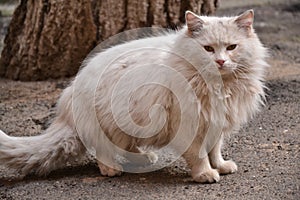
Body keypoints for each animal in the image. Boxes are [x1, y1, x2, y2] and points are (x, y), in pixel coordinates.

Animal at [0, 10, 268, 184]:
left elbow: (215, 150)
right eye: (208, 49)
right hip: (105, 123)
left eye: (231, 47)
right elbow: (200, 155)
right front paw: (205, 174)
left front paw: (221, 166)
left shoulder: (215, 121)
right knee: (103, 150)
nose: (220, 62)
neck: (220, 87)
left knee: (127, 146)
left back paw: (145, 158)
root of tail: (67, 108)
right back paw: (111, 169)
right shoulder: (189, 124)